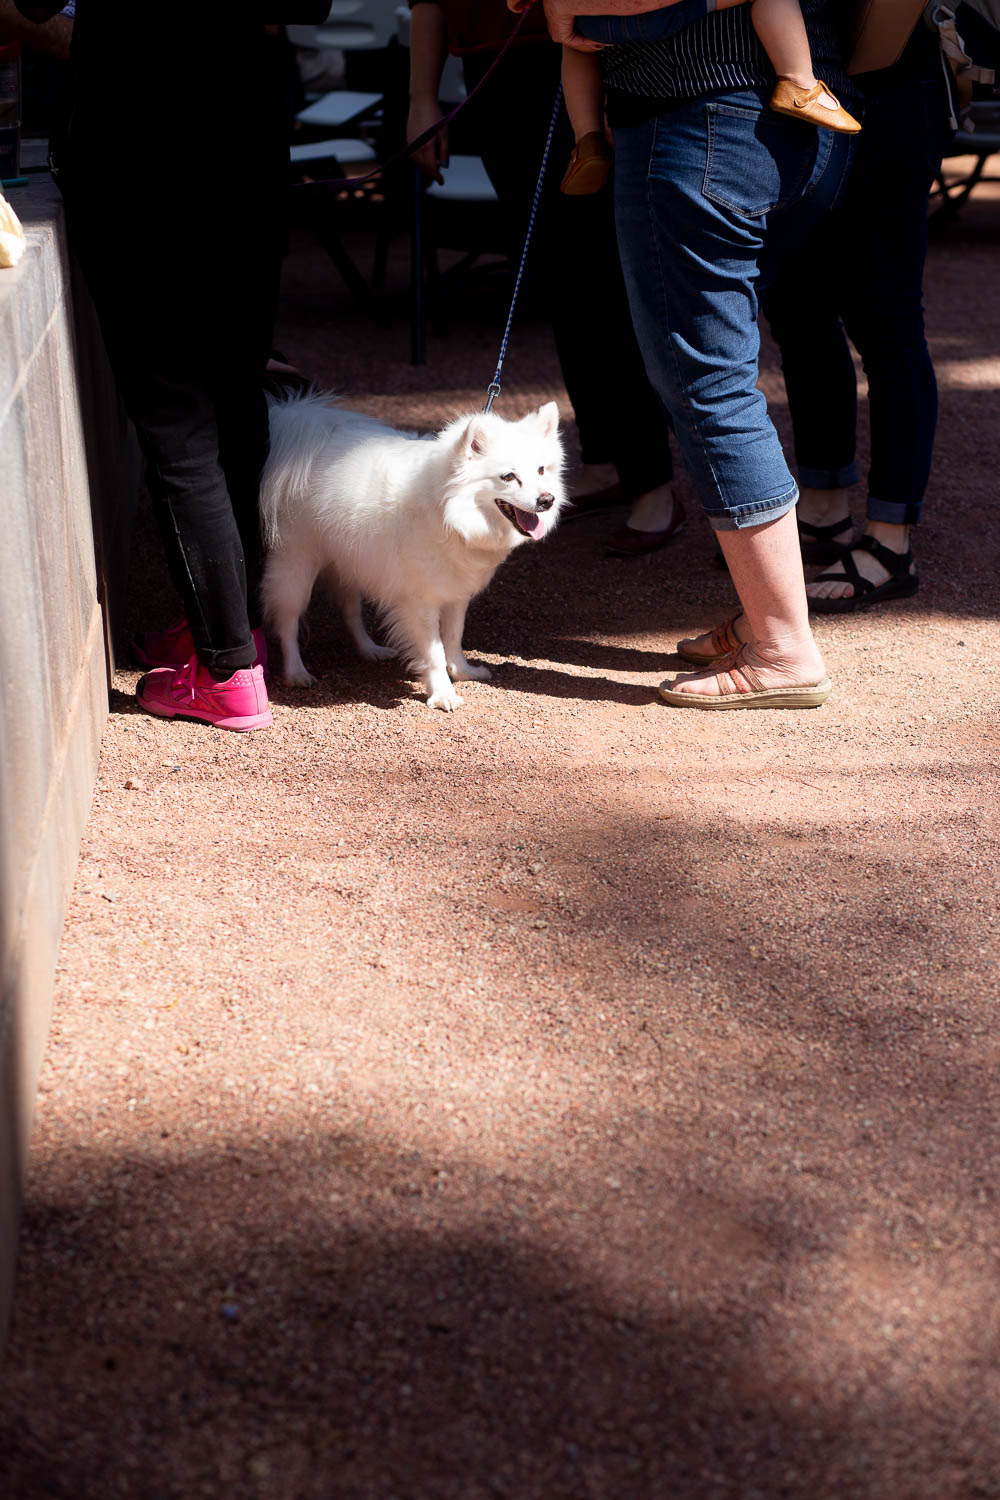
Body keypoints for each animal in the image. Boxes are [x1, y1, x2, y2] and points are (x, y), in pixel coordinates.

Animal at [259, 392, 566, 711]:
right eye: (508, 476)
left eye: (541, 470)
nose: (547, 500)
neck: (447, 510)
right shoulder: (421, 602)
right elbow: (434, 652)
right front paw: (443, 694)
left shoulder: (456, 593)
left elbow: (454, 638)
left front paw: (463, 671)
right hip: (296, 567)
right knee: (288, 621)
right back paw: (296, 672)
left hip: (349, 563)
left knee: (349, 609)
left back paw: (369, 649)